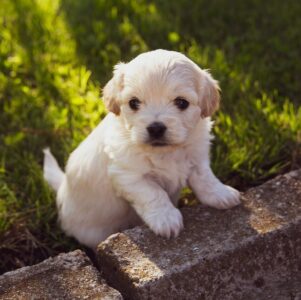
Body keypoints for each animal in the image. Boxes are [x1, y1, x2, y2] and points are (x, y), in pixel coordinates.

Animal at [42, 50, 239, 250]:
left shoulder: (197, 157)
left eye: (182, 102)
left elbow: (205, 178)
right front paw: (166, 219)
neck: (165, 152)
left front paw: (221, 194)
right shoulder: (128, 176)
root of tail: (62, 188)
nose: (156, 128)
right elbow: (154, 193)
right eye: (134, 103)